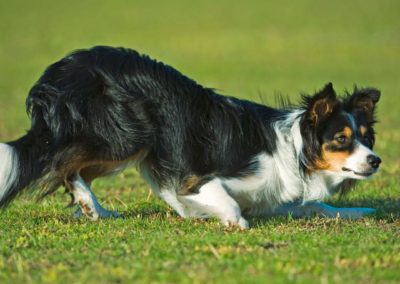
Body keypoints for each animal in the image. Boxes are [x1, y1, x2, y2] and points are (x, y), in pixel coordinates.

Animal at [0, 46, 382, 229]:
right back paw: (90, 204)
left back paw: (96, 210)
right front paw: (233, 222)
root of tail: (62, 70)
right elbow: (226, 201)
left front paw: (360, 211)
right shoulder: (194, 177)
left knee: (74, 168)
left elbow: (318, 205)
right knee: (62, 163)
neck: (296, 149)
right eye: (342, 138)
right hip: (126, 135)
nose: (376, 161)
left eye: (367, 139)